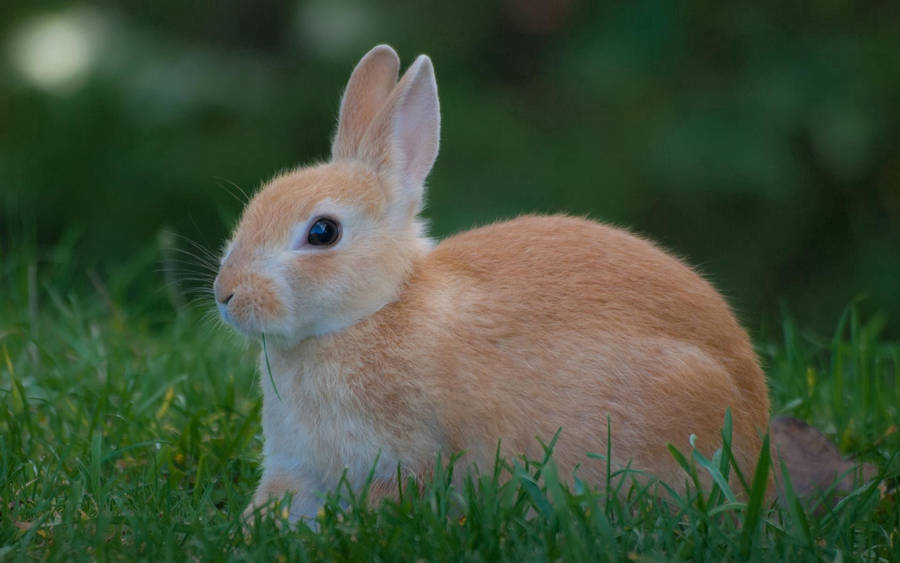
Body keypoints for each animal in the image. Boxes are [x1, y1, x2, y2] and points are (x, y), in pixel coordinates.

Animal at [213, 45, 771, 522]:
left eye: (322, 232)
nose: (226, 295)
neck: (375, 310)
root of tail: (755, 423)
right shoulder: (296, 465)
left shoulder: (404, 458)